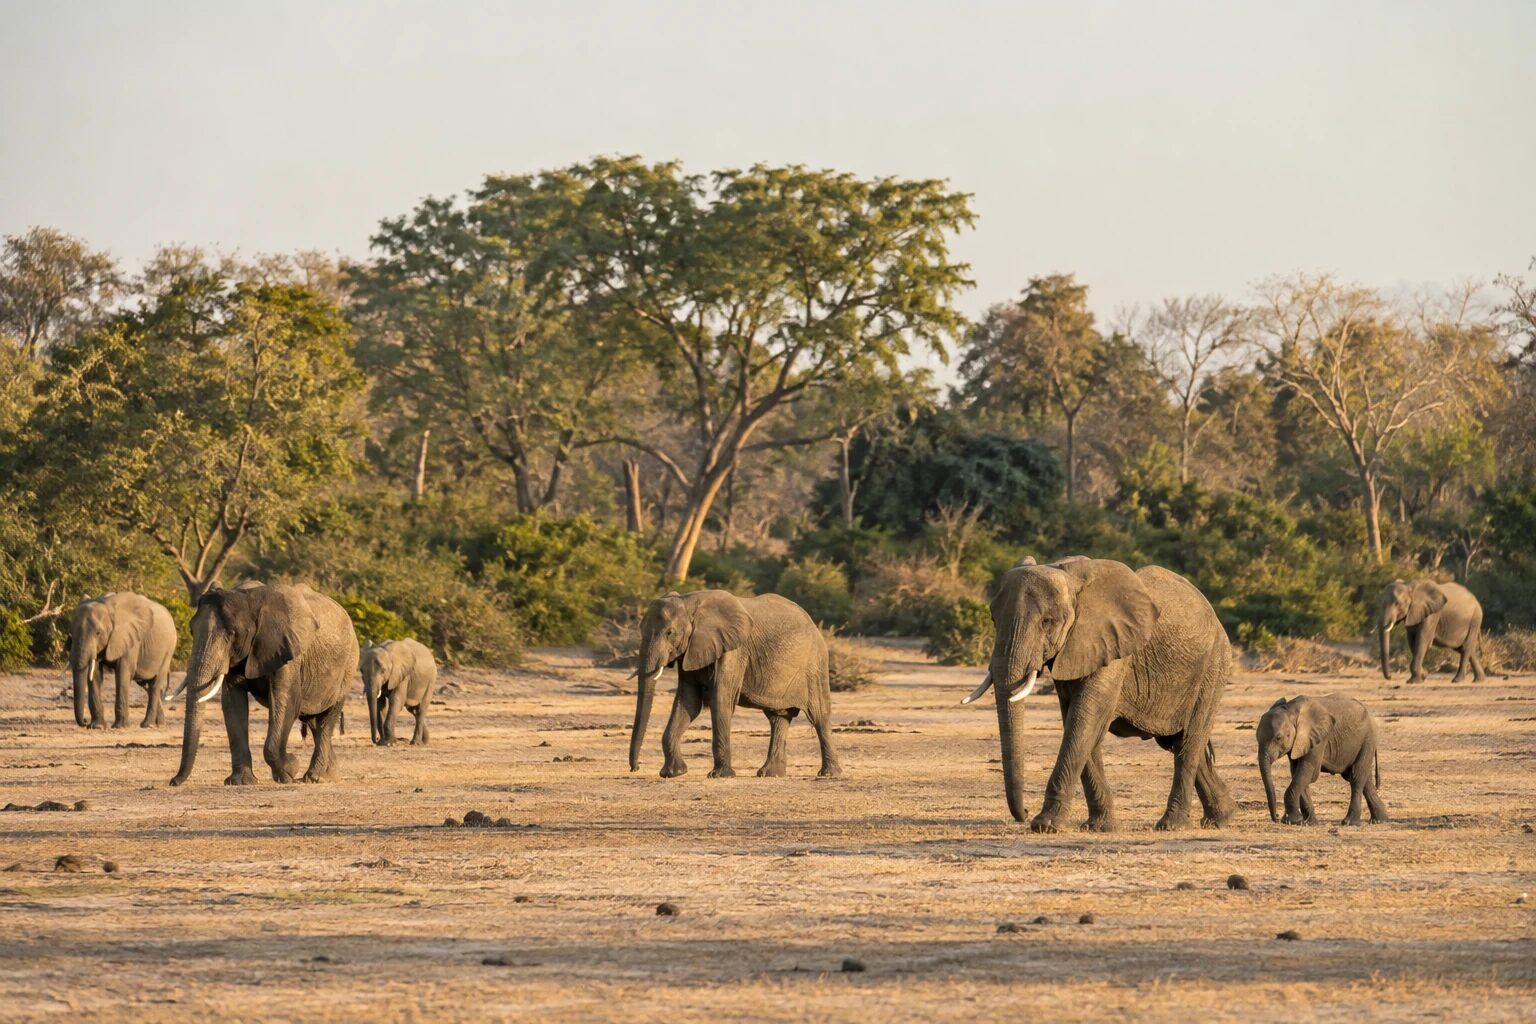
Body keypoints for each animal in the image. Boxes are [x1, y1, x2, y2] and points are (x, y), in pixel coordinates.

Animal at [68, 592, 177, 729]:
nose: (85, 721)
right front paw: (97, 727)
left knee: (155, 685)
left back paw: (148, 725)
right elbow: (95, 674)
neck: (106, 605)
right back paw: (159, 724)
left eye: (98, 633)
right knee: (146, 684)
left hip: (168, 650)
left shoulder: (131, 640)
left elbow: (122, 673)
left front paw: (120, 727)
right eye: (71, 632)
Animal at [167, 583, 358, 786]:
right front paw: (240, 782)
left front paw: (290, 769)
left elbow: (285, 701)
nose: (173, 781)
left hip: (347, 666)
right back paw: (330, 776)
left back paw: (316, 777)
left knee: (325, 721)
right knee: (313, 721)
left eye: (231, 634)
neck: (250, 598)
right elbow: (233, 705)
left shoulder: (287, 650)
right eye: (191, 631)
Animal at [629, 590, 841, 779]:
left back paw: (829, 774)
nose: (635, 768)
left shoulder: (733, 651)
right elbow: (688, 703)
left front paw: (719, 775)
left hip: (815, 666)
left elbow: (721, 700)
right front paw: (673, 773)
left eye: (669, 632)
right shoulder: (691, 650)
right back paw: (770, 774)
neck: (689, 602)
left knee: (819, 715)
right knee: (778, 718)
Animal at [963, 556, 1235, 832]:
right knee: (1178, 742)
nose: (1024, 812)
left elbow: (1085, 718)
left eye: (1047, 622)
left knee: (1190, 742)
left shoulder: (1112, 646)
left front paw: (1045, 825)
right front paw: (1099, 826)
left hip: (1212, 669)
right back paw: (1220, 818)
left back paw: (1172, 825)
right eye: (993, 619)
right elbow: (1078, 722)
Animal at [1258, 694, 1387, 826]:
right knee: (1363, 778)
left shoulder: (1318, 740)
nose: (1276, 817)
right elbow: (1297, 773)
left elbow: (1308, 773)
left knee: (1356, 777)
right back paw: (1380, 820)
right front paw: (1309, 823)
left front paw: (1291, 821)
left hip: (1368, 739)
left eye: (1278, 738)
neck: (1291, 710)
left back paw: (1350, 822)